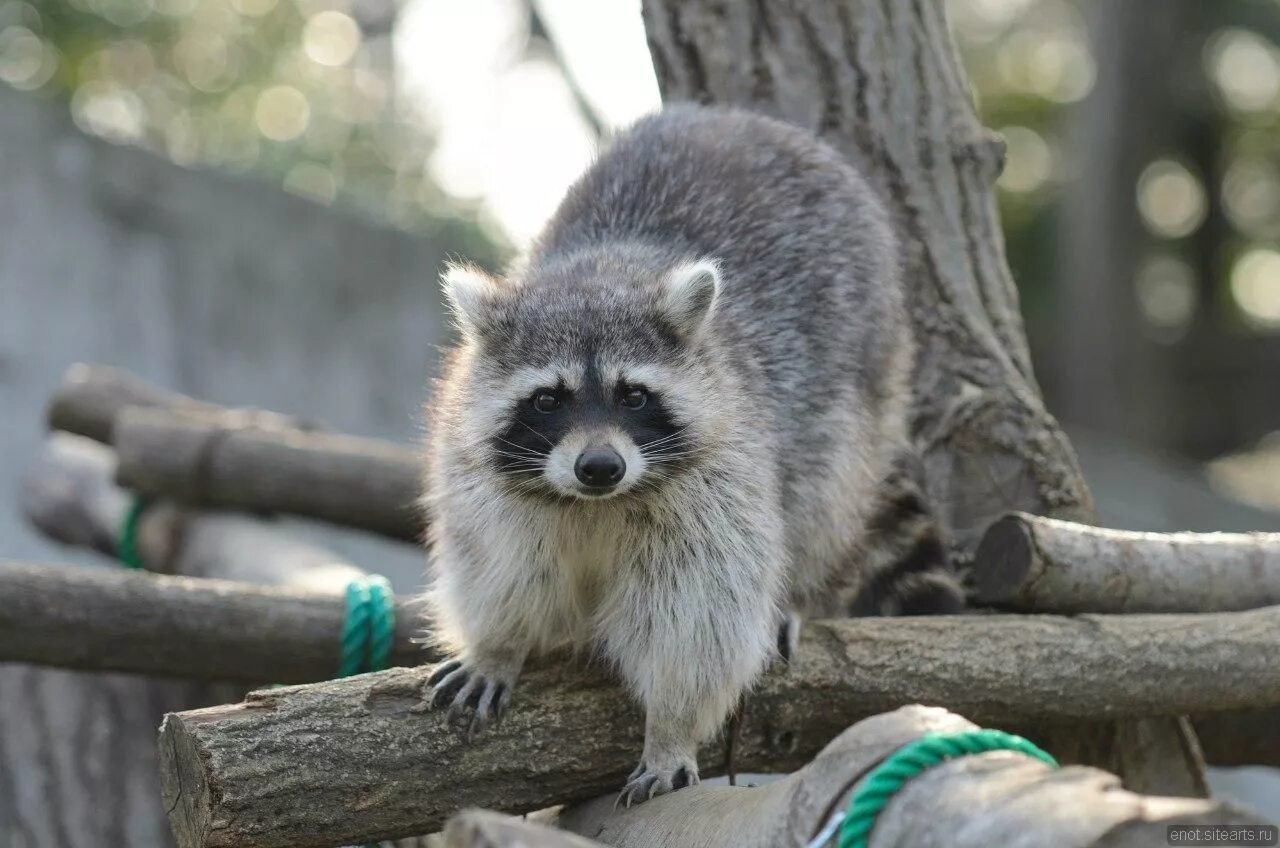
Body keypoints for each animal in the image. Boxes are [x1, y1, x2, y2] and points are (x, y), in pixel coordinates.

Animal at [419, 103, 962, 809]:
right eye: (547, 400)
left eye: (633, 395)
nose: (600, 467)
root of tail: (744, 118)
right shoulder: (483, 481)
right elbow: (502, 568)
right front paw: (499, 645)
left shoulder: (720, 480)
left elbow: (699, 621)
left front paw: (671, 731)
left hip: (864, 366)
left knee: (824, 487)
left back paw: (798, 588)